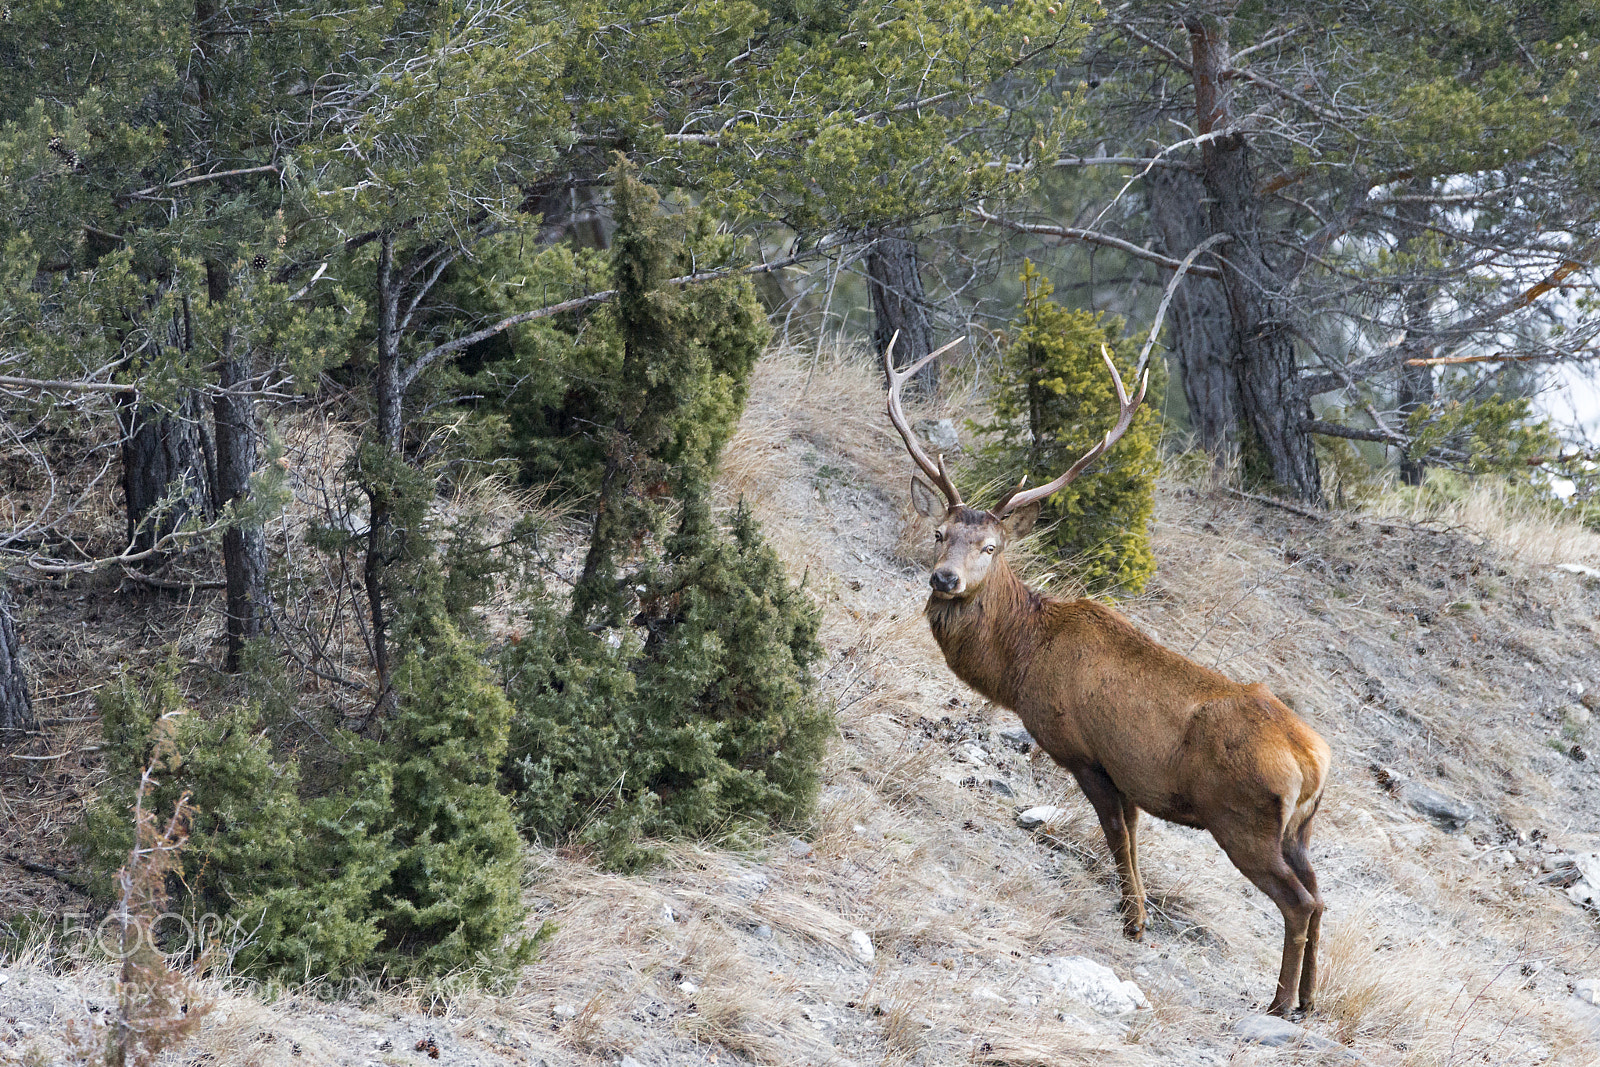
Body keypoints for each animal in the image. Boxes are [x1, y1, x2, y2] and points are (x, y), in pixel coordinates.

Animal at [883, 337, 1331, 1018]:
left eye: (991, 547)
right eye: (940, 533)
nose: (945, 578)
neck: (1022, 662)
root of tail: (1312, 759)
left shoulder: (1085, 752)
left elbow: (1117, 837)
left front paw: (1133, 923)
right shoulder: (1128, 773)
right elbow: (1136, 840)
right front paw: (1135, 918)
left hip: (1243, 819)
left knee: (1299, 901)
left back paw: (1279, 1003)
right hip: (1299, 828)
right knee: (1322, 894)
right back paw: (1308, 1000)